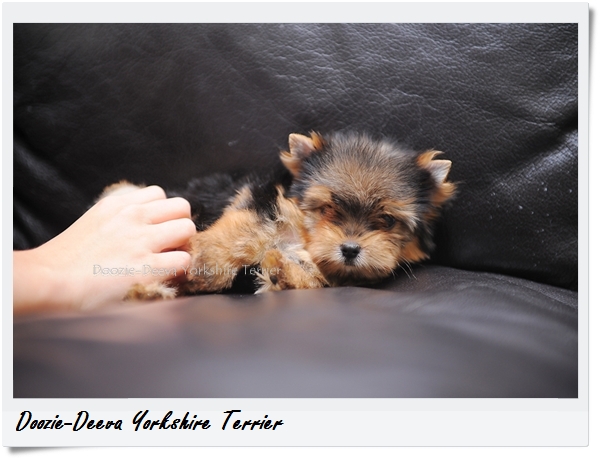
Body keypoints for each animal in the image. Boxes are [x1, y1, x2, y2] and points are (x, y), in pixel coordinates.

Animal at [102, 131, 455, 299]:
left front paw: (279, 272)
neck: (302, 235)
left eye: (387, 220)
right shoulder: (260, 203)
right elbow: (242, 232)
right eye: (328, 209)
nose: (350, 249)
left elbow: (308, 273)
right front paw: (207, 264)